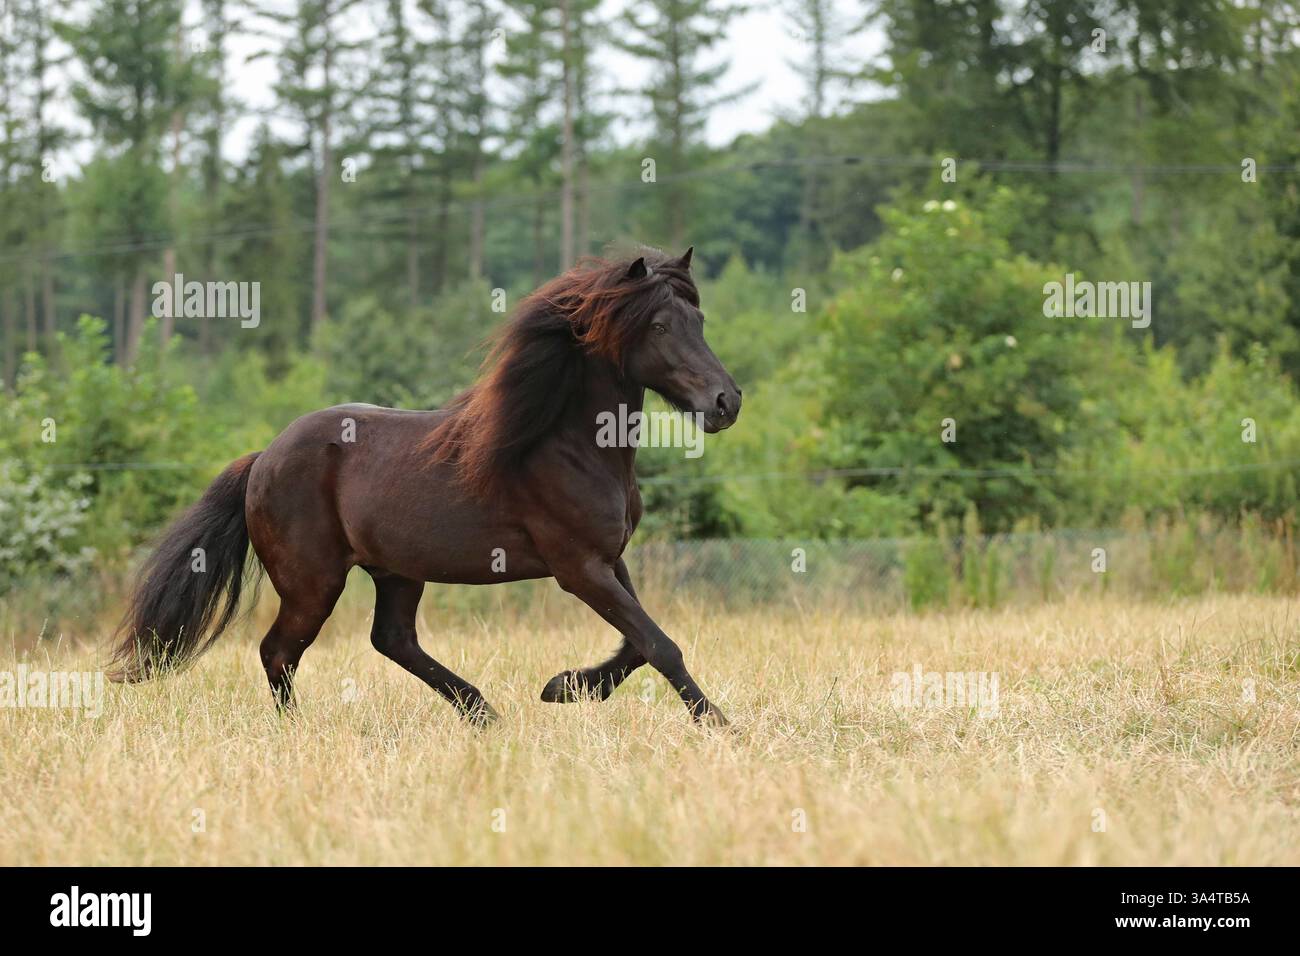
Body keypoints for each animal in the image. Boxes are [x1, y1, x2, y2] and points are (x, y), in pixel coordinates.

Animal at [109, 247, 742, 727]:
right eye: (658, 326)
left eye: (699, 323)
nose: (725, 402)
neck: (570, 446)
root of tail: (263, 458)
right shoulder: (578, 567)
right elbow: (660, 644)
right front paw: (718, 725)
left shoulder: (610, 559)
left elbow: (637, 643)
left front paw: (562, 687)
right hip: (314, 582)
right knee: (280, 651)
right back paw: (301, 730)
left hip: (396, 571)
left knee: (391, 639)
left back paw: (482, 712)